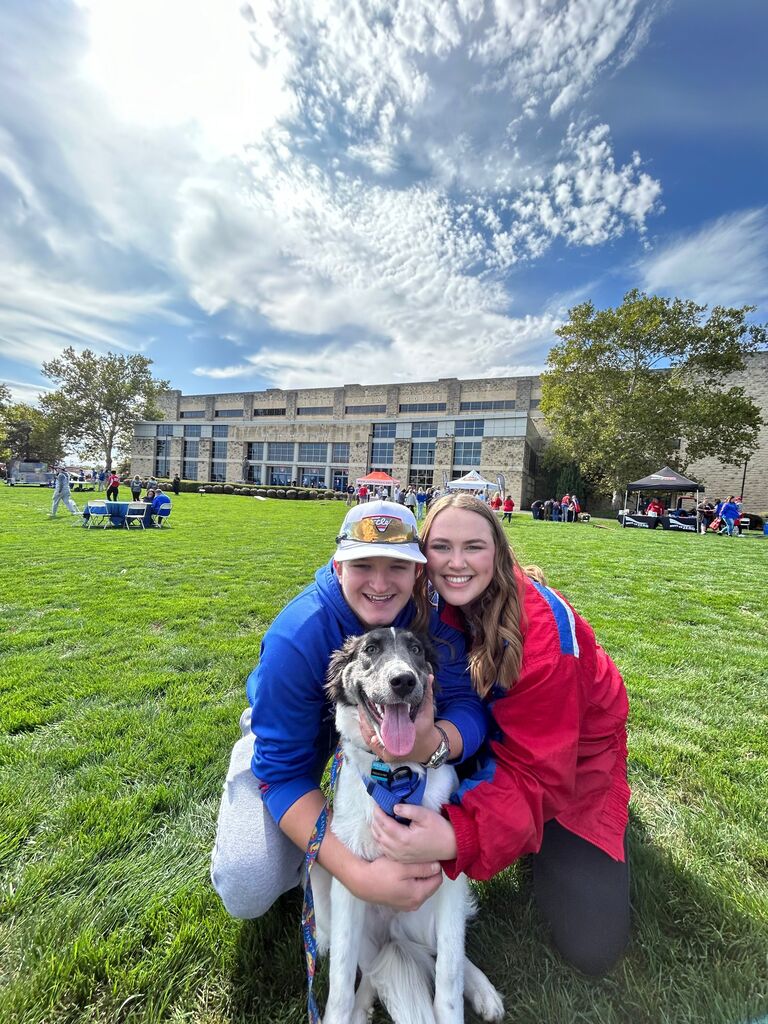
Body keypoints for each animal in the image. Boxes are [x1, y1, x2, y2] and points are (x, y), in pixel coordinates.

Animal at [313, 622, 505, 1024]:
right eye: (370, 649)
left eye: (416, 650)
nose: (402, 681)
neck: (397, 775)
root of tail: (395, 933)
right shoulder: (349, 887)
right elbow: (340, 983)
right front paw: (344, 1011)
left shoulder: (450, 880)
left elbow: (448, 975)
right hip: (325, 879)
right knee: (368, 967)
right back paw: (361, 1006)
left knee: (444, 954)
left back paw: (482, 990)